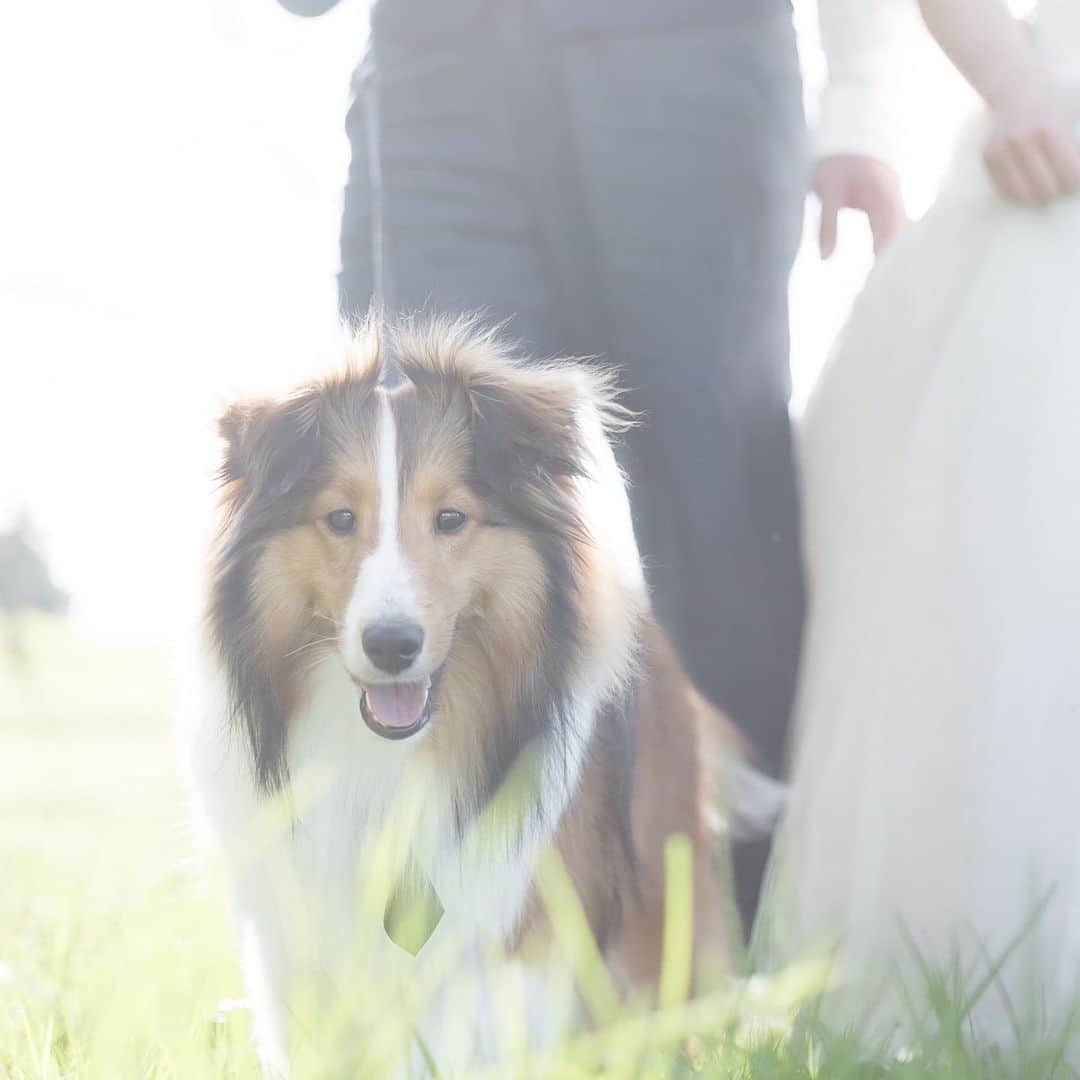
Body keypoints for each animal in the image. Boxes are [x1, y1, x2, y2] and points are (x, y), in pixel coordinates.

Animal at [183, 315, 760, 1071]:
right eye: (340, 518)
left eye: (451, 518)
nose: (391, 645)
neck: (388, 755)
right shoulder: (299, 941)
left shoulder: (507, 941)